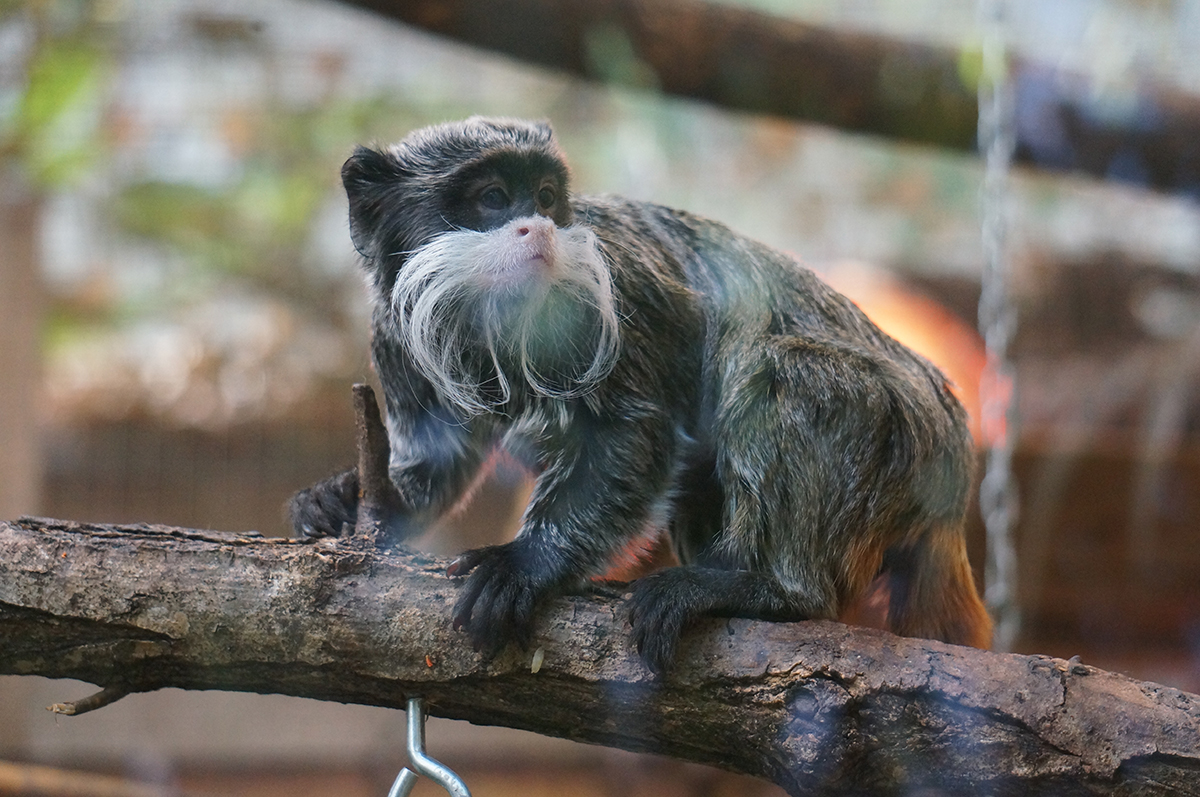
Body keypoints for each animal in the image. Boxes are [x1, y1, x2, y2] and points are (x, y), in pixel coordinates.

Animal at [290, 115, 993, 667]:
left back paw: (769, 589)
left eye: (545, 196)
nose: (537, 228)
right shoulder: (393, 331)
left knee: (782, 373)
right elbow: (439, 461)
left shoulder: (613, 295)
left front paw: (526, 562)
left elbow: (631, 431)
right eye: (492, 197)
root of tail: (957, 461)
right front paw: (348, 498)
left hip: (904, 431)